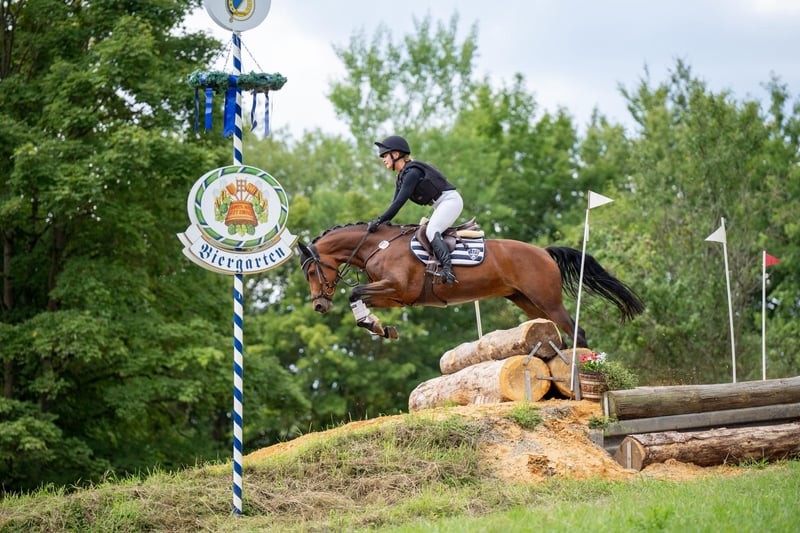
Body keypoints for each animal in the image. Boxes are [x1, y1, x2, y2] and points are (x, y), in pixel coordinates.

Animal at [297, 222, 644, 347]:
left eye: (312, 271)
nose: (319, 305)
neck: (377, 246)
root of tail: (544, 252)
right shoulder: (393, 296)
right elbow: (361, 299)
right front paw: (381, 327)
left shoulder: (397, 288)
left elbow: (355, 292)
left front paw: (377, 326)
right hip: (527, 301)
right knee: (559, 330)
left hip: (548, 300)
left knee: (577, 332)